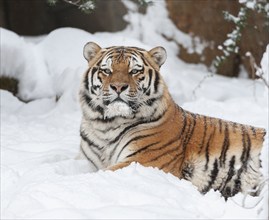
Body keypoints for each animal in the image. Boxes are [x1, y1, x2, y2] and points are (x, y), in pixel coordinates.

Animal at [76, 41, 264, 199]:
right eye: (107, 71)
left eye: (134, 71)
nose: (118, 87)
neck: (106, 126)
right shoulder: (89, 161)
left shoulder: (141, 160)